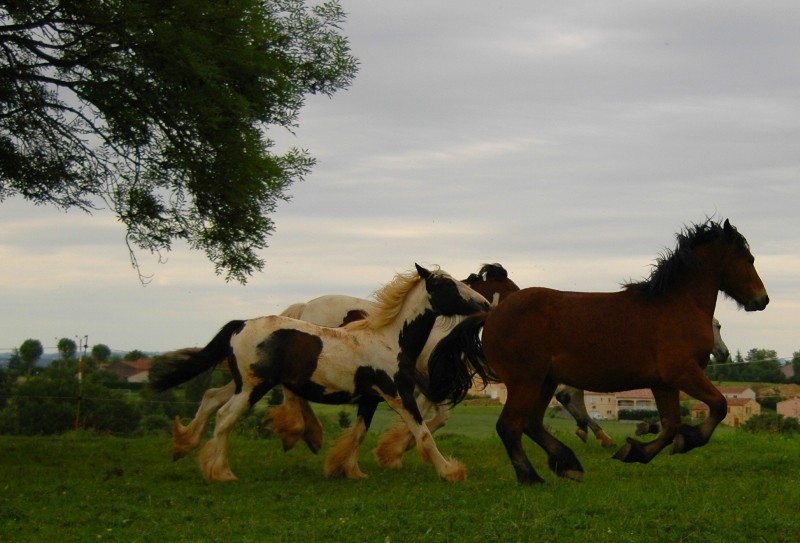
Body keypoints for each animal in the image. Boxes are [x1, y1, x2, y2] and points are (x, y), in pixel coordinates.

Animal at [147, 266, 490, 482]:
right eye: (446, 285)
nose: (484, 303)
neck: (390, 338)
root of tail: (240, 324)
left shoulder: (370, 399)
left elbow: (359, 433)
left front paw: (348, 469)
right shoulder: (398, 394)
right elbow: (424, 434)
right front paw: (450, 471)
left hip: (241, 383)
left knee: (211, 399)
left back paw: (185, 445)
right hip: (253, 388)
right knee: (226, 417)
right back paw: (222, 471)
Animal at [432, 220, 768, 484]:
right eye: (748, 258)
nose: (762, 300)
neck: (675, 305)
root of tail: (491, 315)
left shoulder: (663, 382)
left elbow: (671, 424)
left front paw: (636, 450)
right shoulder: (683, 372)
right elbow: (719, 405)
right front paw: (689, 439)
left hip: (544, 381)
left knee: (531, 423)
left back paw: (568, 463)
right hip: (526, 380)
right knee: (510, 426)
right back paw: (531, 476)